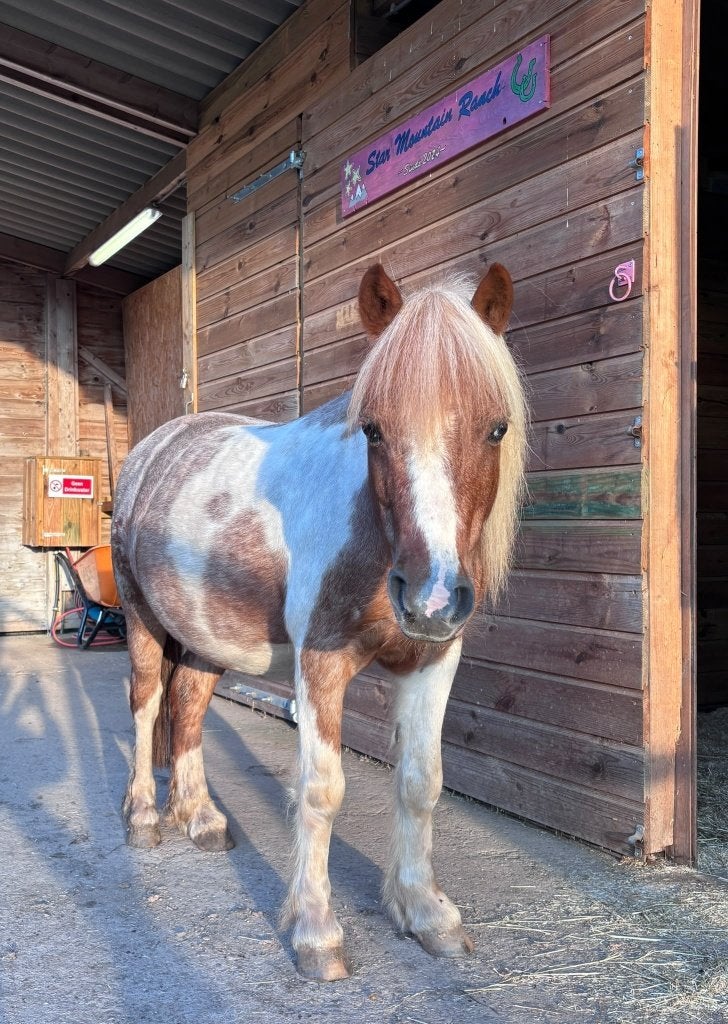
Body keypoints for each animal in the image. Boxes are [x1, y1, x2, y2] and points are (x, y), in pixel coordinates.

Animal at [111, 261, 527, 982]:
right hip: (142, 619)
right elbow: (321, 790)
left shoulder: (433, 660)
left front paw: (427, 914)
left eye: (496, 428)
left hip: (206, 636)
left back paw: (200, 817)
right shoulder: (321, 663)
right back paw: (144, 818)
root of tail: (153, 450)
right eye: (374, 430)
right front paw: (315, 933)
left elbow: (420, 783)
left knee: (187, 707)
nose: (431, 597)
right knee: (146, 704)